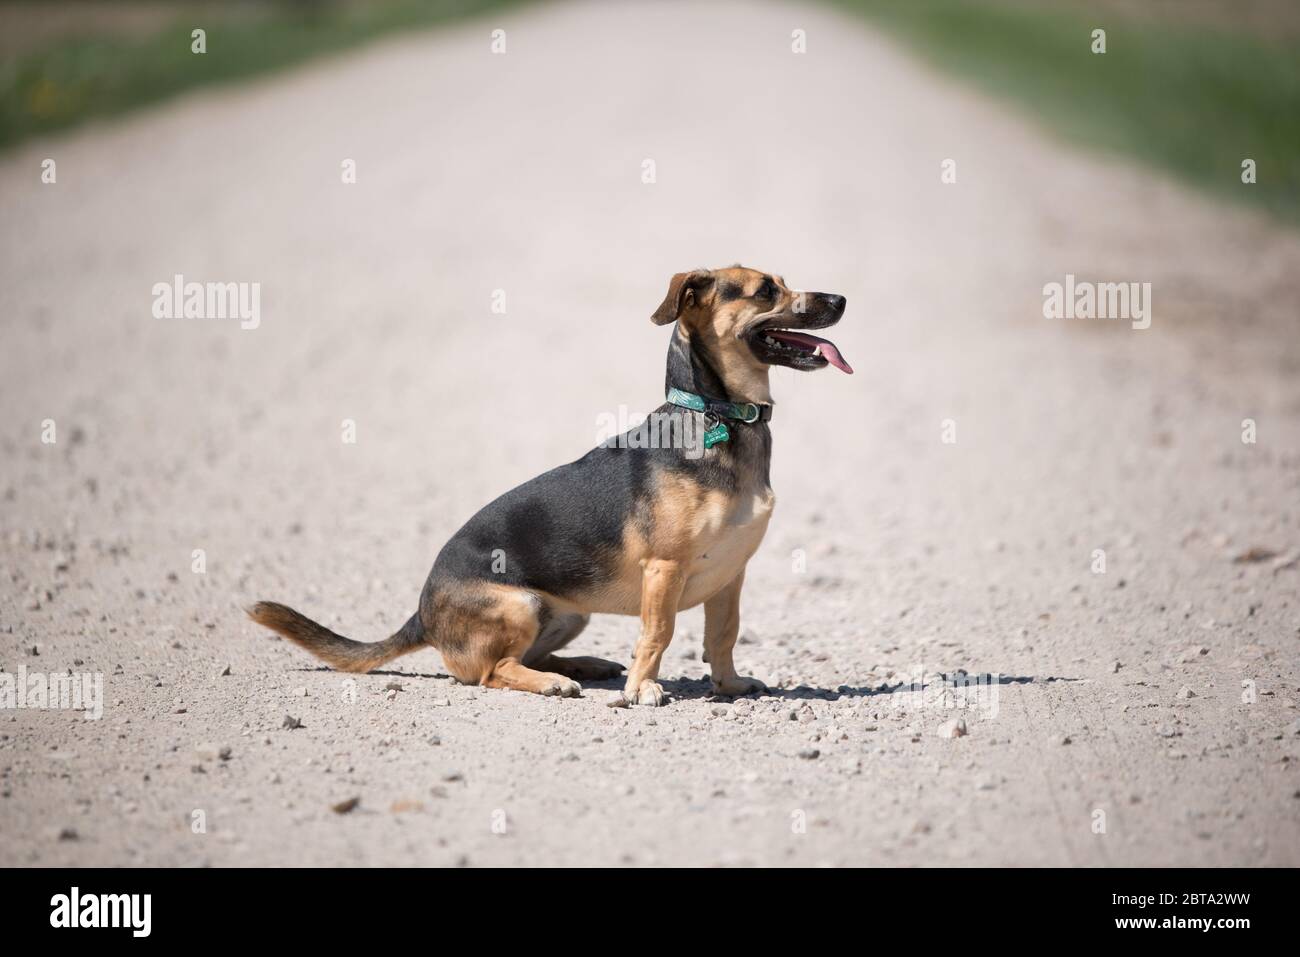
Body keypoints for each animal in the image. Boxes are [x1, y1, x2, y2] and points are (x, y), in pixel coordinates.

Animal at [246, 265, 847, 707]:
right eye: (767, 290)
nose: (841, 298)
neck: (719, 415)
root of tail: (423, 614)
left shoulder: (730, 576)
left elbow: (722, 636)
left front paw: (728, 685)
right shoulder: (665, 570)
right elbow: (657, 635)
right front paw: (643, 689)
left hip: (569, 611)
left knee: (526, 656)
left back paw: (585, 665)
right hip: (520, 606)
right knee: (492, 670)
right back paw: (556, 682)